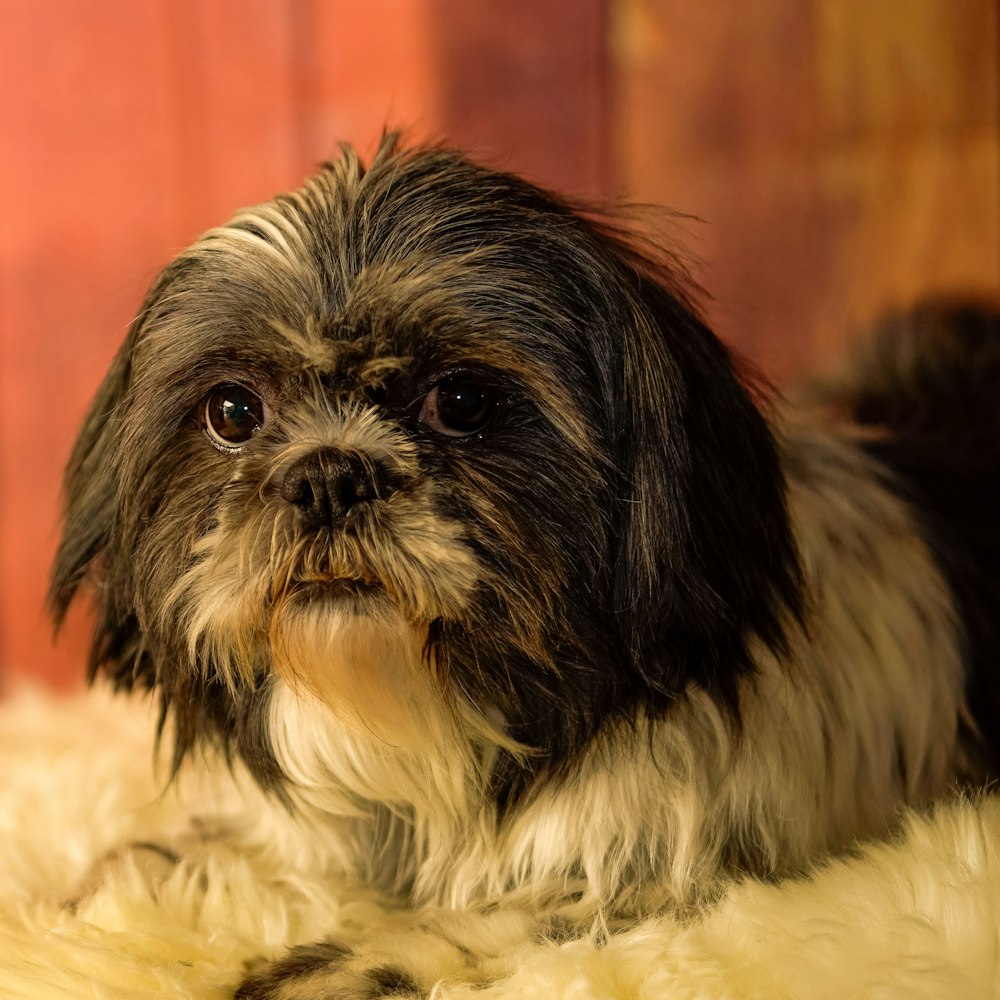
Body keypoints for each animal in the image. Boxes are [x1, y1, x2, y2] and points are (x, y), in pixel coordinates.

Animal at [48, 135, 1000, 1000]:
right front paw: (126, 880)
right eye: (234, 411)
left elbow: (524, 906)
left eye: (463, 400)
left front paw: (342, 962)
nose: (327, 476)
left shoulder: (690, 871)